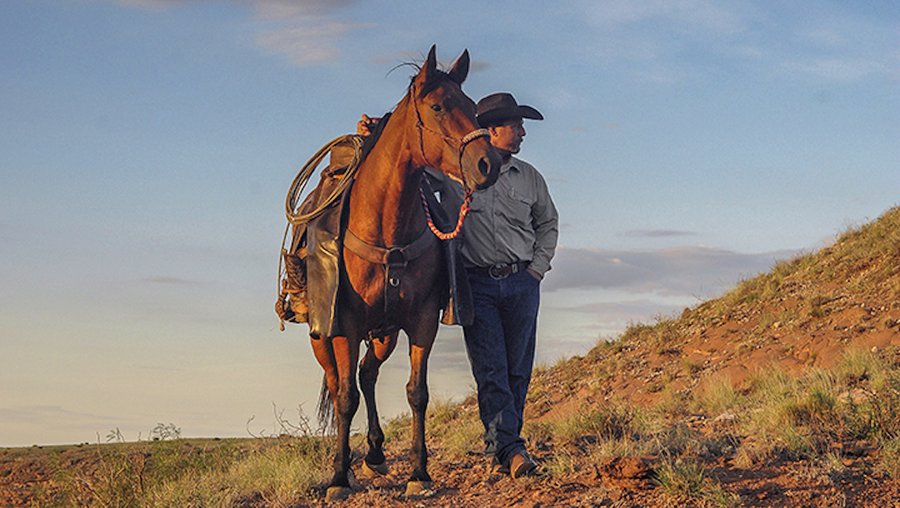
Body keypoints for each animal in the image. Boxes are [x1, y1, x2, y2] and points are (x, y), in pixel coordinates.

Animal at [312, 47, 502, 500]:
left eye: (473, 108)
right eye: (437, 107)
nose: (489, 164)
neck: (387, 225)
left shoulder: (421, 322)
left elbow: (417, 393)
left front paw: (419, 472)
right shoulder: (344, 324)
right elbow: (345, 398)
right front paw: (339, 479)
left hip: (384, 334)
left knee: (367, 374)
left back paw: (377, 454)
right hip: (321, 336)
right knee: (339, 382)